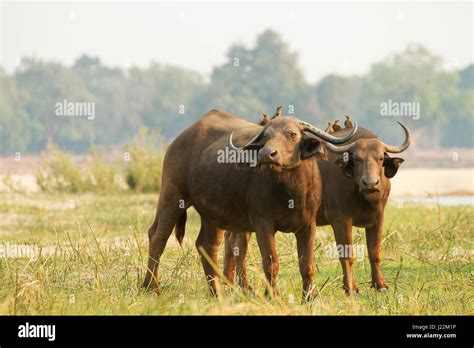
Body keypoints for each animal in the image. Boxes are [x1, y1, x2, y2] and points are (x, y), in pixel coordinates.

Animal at [143, 109, 358, 300]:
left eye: (292, 134)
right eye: (266, 136)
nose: (267, 154)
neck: (290, 192)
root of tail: (179, 140)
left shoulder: (308, 224)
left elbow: (307, 263)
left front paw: (309, 297)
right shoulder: (263, 223)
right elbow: (271, 262)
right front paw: (272, 296)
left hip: (211, 212)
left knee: (207, 244)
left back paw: (216, 293)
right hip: (172, 194)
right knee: (158, 236)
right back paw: (151, 287)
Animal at [224, 121, 410, 294]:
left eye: (380, 158)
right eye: (356, 159)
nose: (370, 183)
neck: (362, 194)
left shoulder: (378, 218)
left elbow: (375, 252)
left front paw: (380, 285)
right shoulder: (340, 219)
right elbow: (346, 255)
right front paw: (350, 288)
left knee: (232, 241)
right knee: (238, 245)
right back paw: (243, 286)